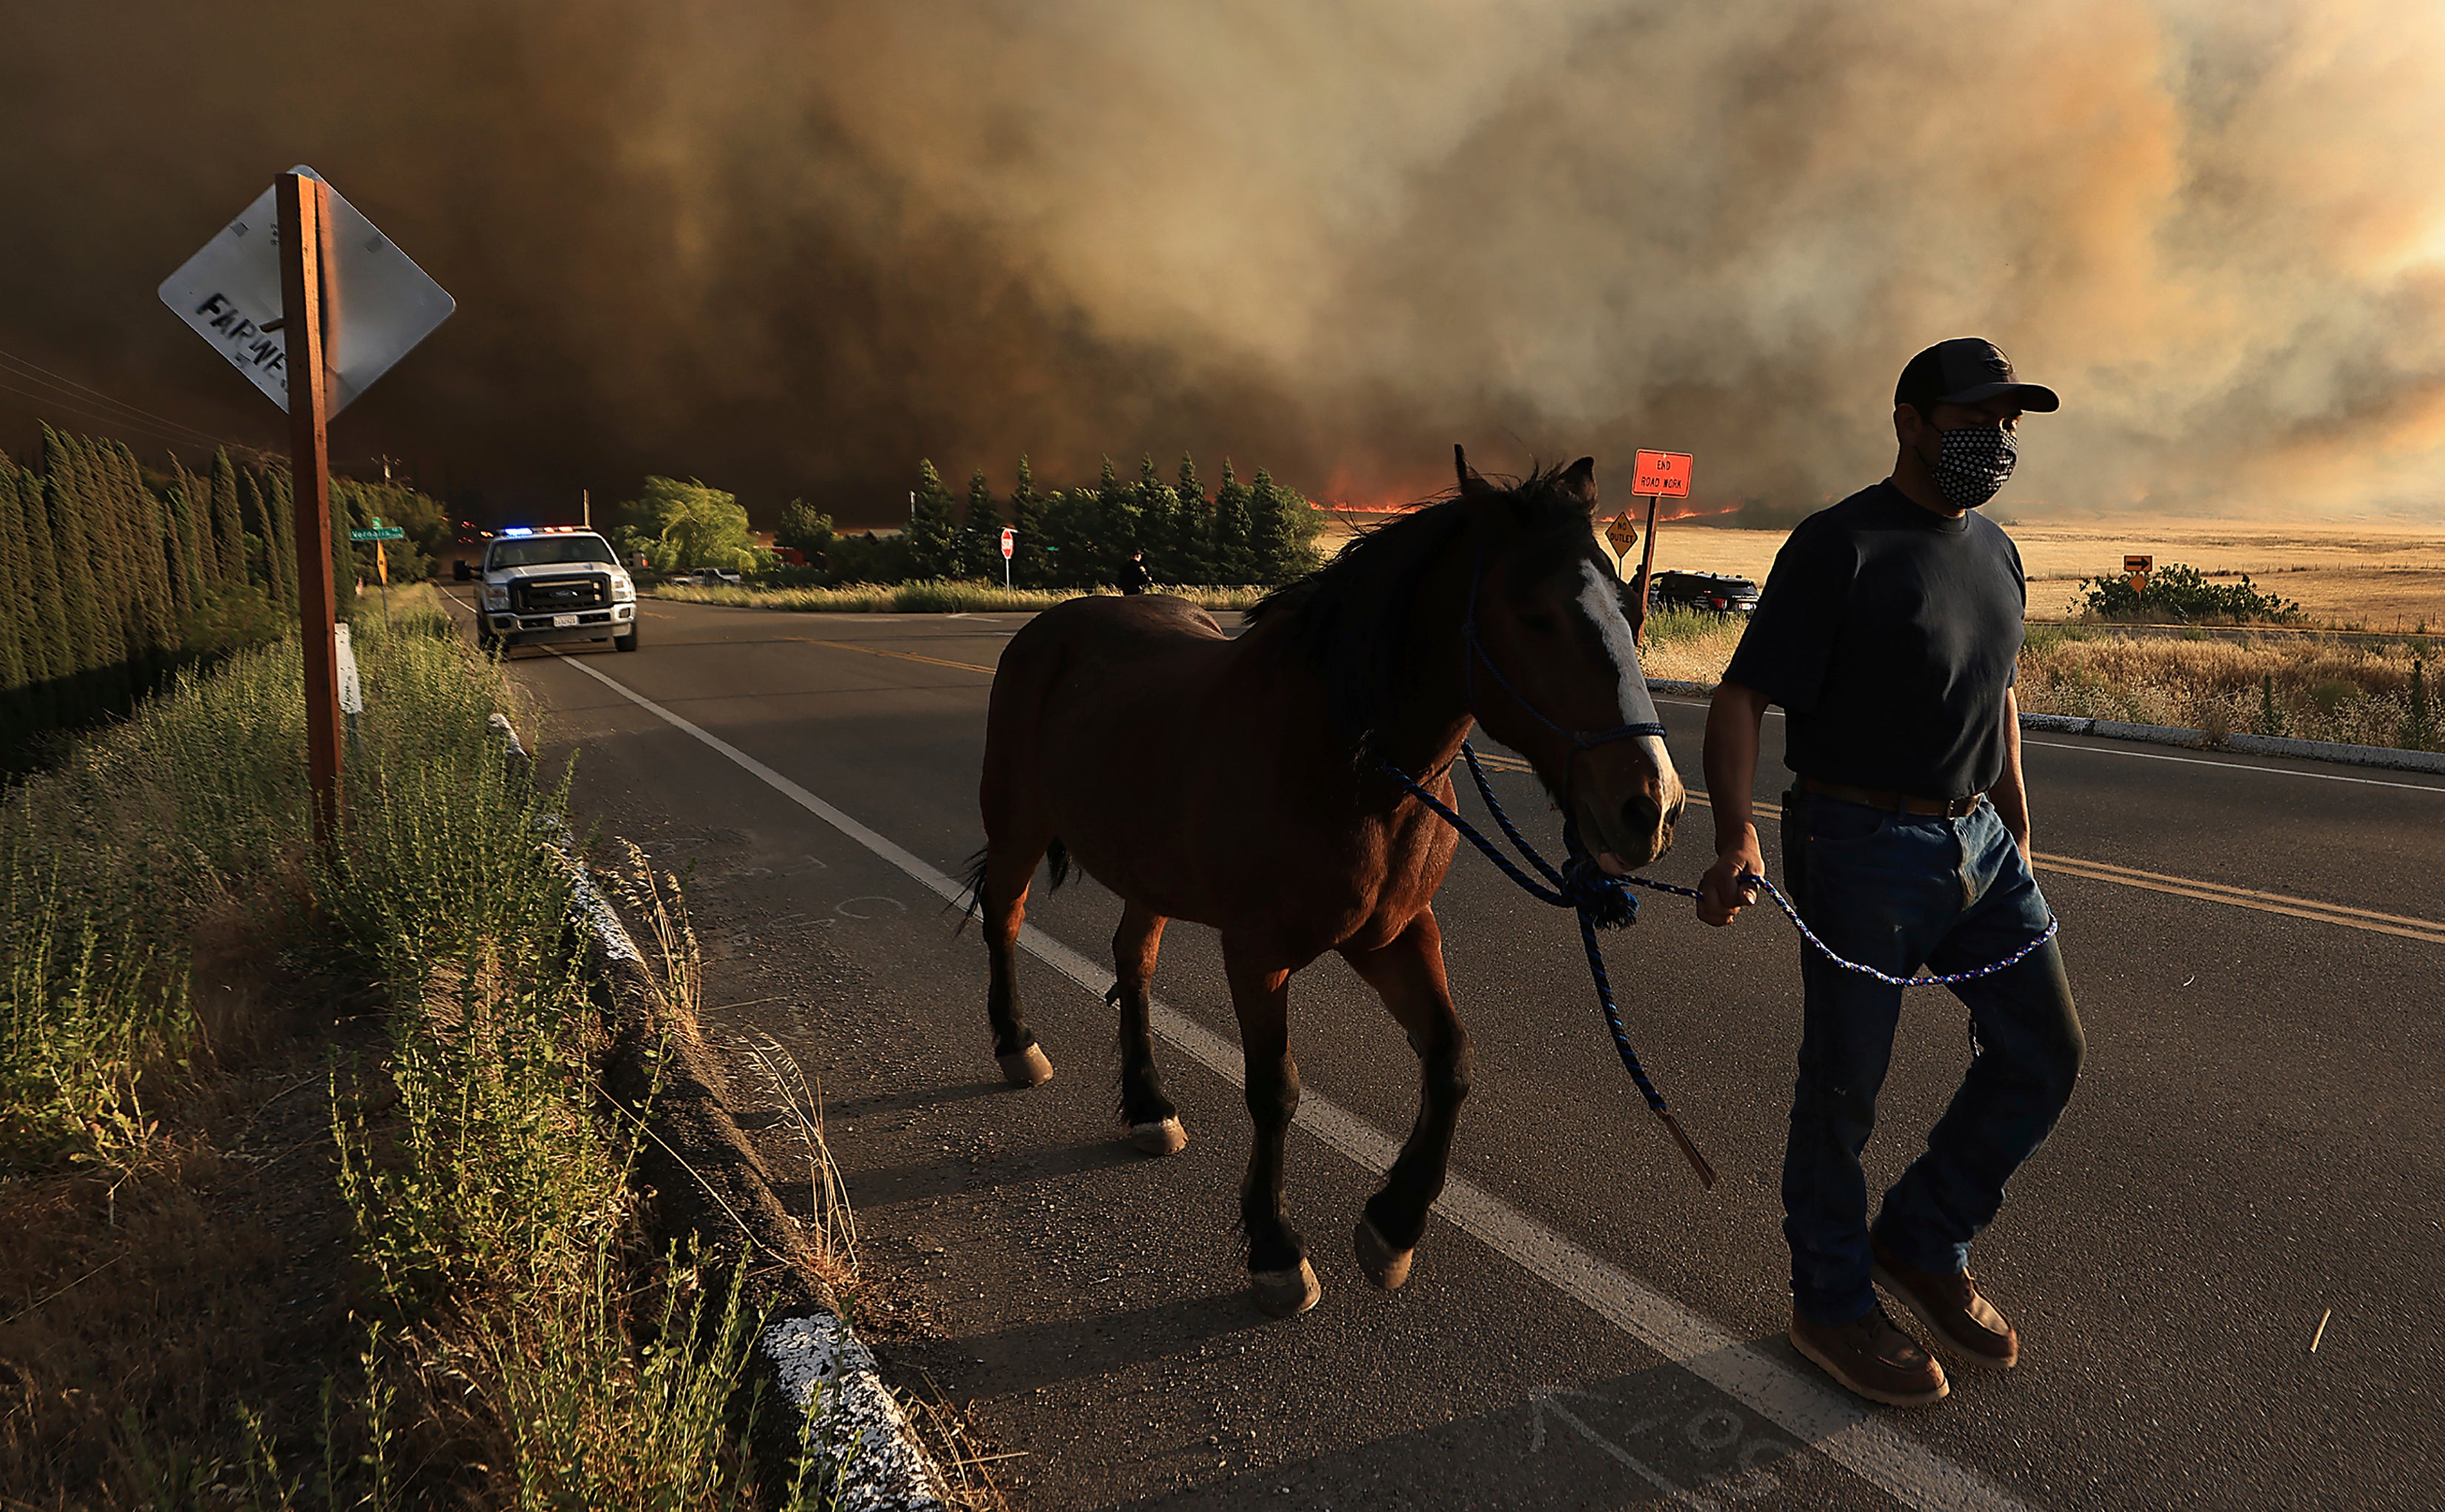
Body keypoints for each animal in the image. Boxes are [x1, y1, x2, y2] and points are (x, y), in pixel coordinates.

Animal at [963, 447, 1691, 1311]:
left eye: (1631, 607)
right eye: (1531, 613)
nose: (1651, 806)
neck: (1346, 763)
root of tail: (1048, 628)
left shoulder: (1396, 935)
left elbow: (1451, 1060)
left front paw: (1394, 1225)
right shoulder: (1257, 954)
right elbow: (1275, 1089)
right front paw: (1275, 1247)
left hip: (1149, 872)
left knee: (1132, 959)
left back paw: (1147, 1105)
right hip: (1017, 830)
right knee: (1005, 920)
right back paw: (1017, 1044)